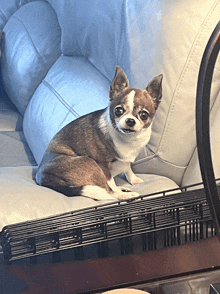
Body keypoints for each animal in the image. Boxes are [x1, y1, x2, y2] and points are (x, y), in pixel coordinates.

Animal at [36, 66, 162, 200]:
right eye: (118, 110)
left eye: (144, 115)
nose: (130, 120)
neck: (128, 138)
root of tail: (42, 178)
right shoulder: (102, 165)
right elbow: (111, 183)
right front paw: (120, 189)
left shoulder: (125, 160)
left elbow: (128, 168)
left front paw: (134, 180)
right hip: (89, 163)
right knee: (108, 191)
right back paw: (125, 194)